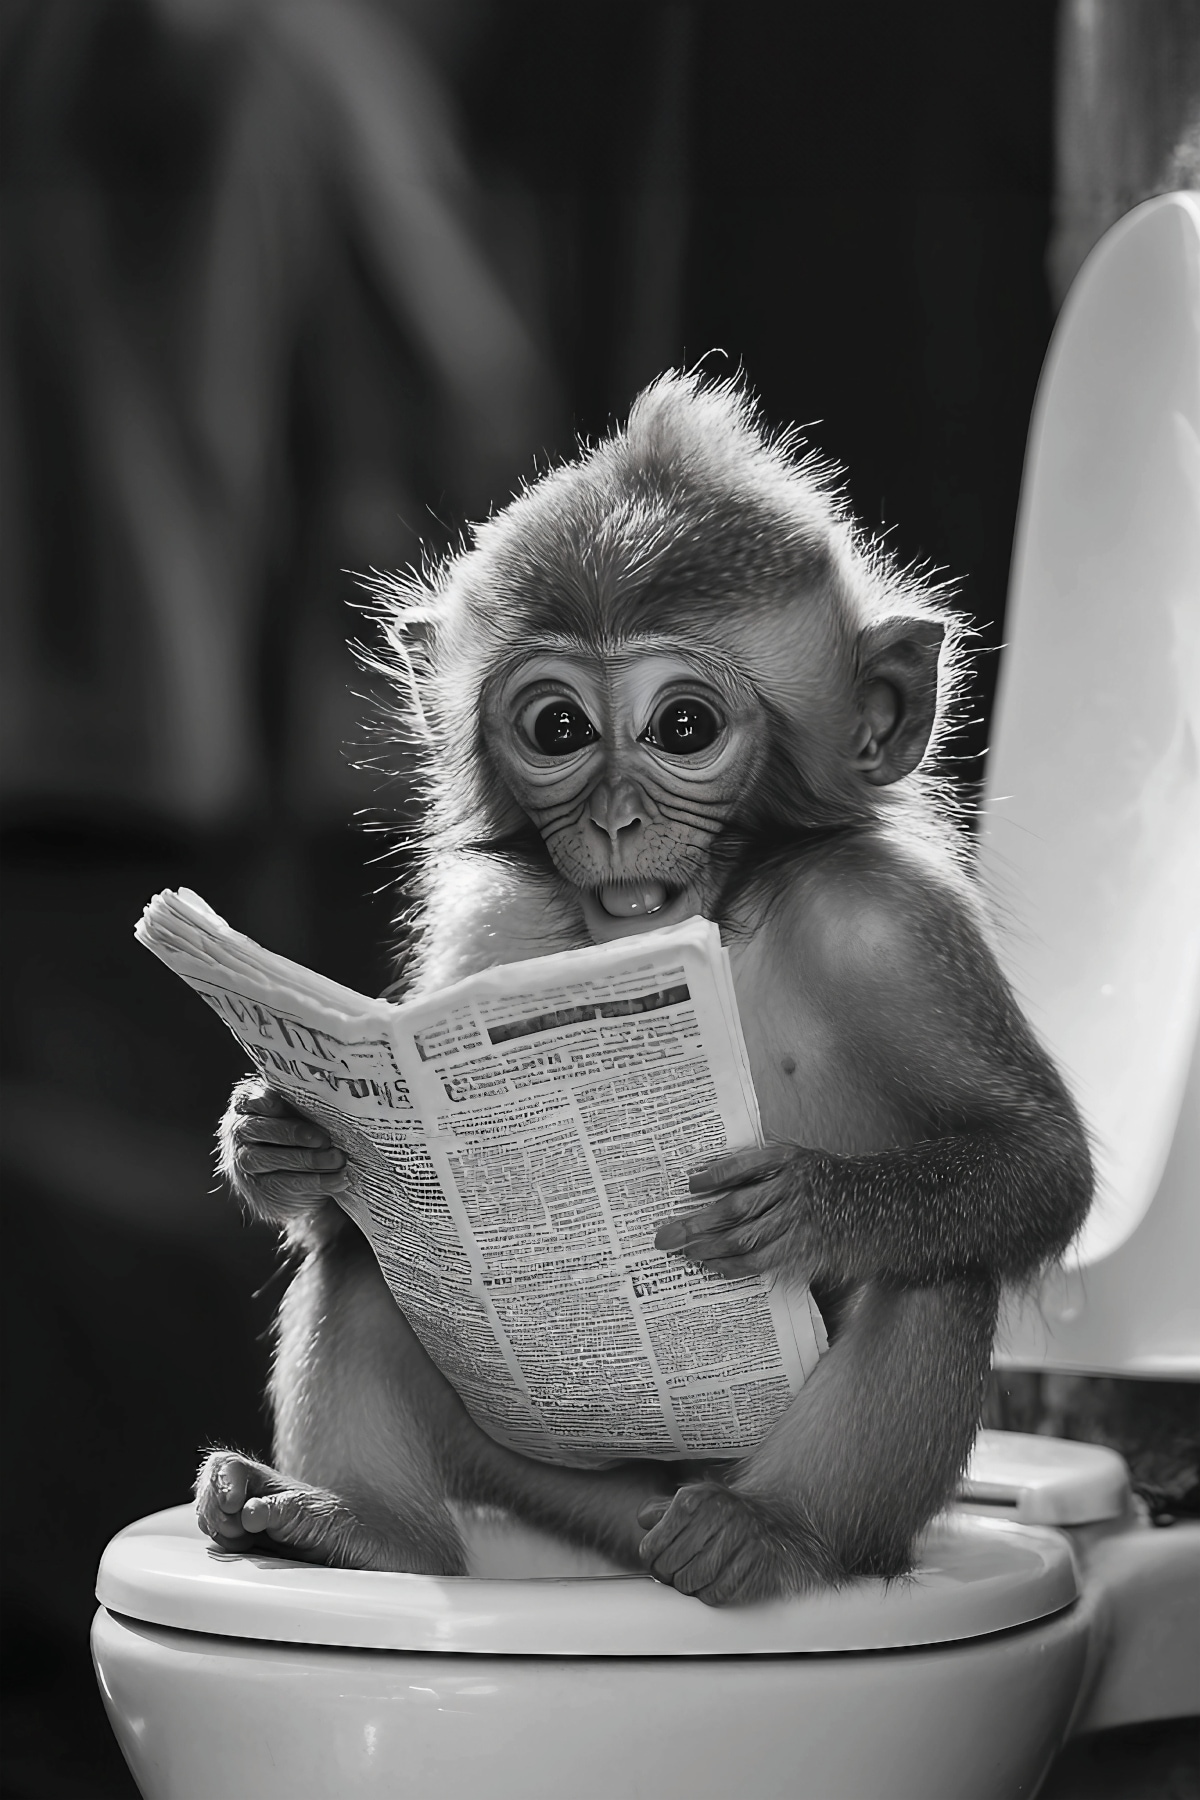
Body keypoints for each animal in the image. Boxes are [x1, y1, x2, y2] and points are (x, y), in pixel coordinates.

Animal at [197, 372, 1093, 1605]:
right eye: (558, 727)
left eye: (684, 726)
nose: (617, 819)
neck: (719, 918)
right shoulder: (494, 930)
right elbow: (355, 1203)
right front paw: (276, 1137)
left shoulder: (893, 926)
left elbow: (1039, 1162)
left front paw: (808, 1204)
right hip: (553, 1472)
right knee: (371, 1261)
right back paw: (362, 1529)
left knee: (938, 1269)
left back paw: (770, 1535)